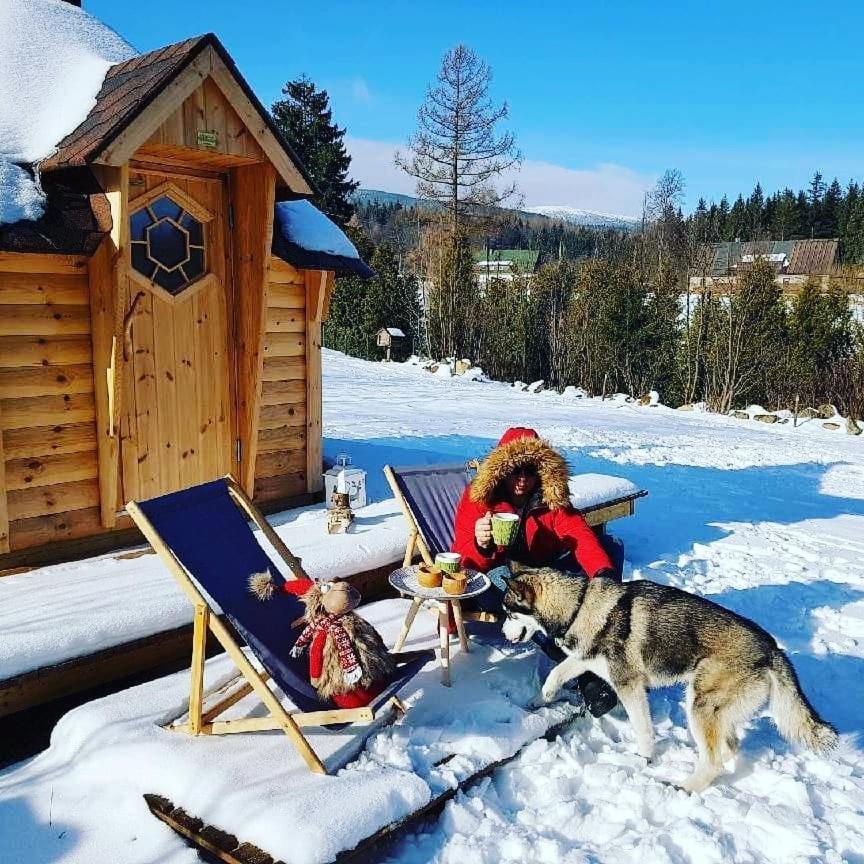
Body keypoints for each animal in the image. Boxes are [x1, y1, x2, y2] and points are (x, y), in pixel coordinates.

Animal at [500, 564, 836, 792]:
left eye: (510, 614)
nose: (502, 633)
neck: (580, 606)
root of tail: (772, 649)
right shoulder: (586, 661)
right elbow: (556, 673)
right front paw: (539, 700)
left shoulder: (629, 685)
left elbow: (643, 728)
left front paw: (643, 759)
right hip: (713, 709)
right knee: (729, 747)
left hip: (699, 706)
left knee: (714, 759)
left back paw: (686, 787)